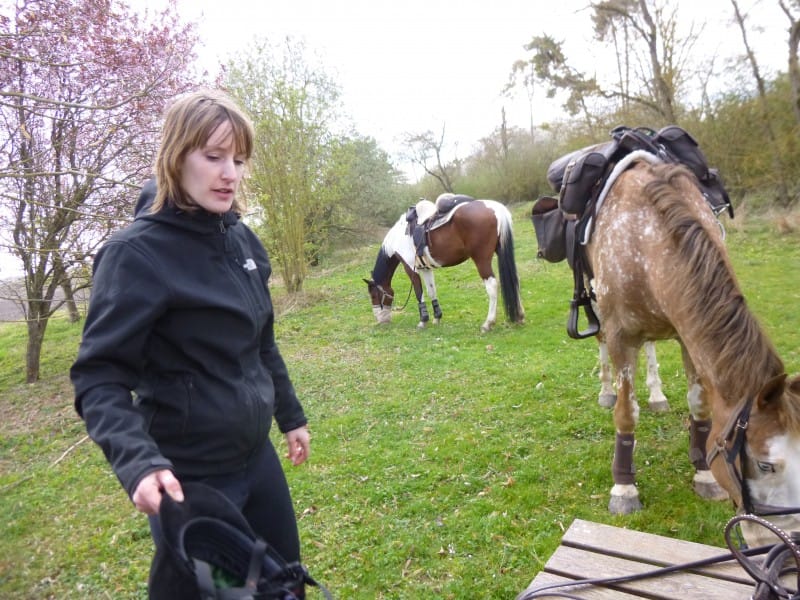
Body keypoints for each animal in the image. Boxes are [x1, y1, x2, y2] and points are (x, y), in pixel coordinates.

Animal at [362, 195, 524, 330]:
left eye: (374, 296)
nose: (380, 320)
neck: (398, 238)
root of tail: (496, 208)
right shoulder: (426, 268)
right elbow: (431, 291)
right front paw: (437, 318)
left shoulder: (410, 268)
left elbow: (419, 292)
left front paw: (423, 321)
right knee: (514, 280)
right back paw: (520, 316)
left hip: (481, 259)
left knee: (492, 286)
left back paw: (488, 323)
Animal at [588, 162, 800, 548]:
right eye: (765, 465)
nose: (788, 546)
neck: (645, 240)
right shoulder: (621, 336)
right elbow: (626, 413)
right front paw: (624, 488)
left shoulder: (687, 337)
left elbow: (700, 407)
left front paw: (703, 474)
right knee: (600, 343)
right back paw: (607, 391)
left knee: (651, 347)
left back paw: (656, 394)